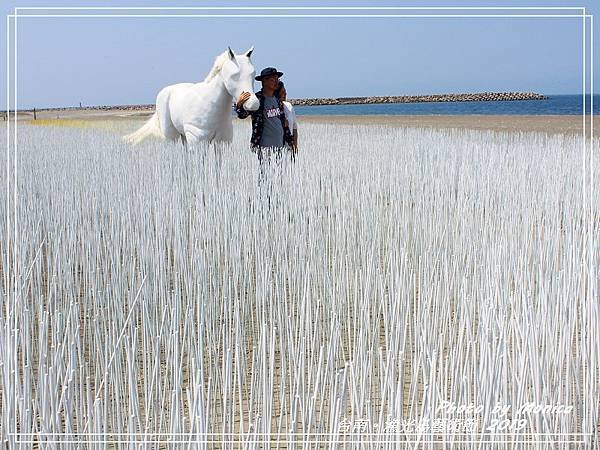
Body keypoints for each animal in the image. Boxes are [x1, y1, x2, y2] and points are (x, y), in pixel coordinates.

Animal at [123, 47, 258, 146]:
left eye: (253, 73)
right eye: (234, 75)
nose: (254, 103)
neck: (210, 104)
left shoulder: (221, 142)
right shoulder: (197, 142)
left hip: (183, 136)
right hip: (171, 137)